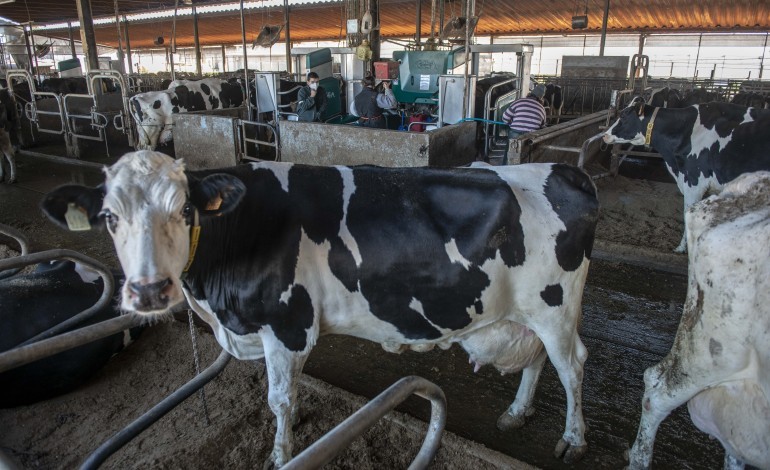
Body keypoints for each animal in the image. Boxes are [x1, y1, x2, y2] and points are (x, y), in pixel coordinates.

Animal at [43, 152, 600, 468]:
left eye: (184, 210)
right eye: (109, 216)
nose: (149, 291)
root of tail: (566, 171)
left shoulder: (287, 326)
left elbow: (279, 400)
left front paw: (280, 453)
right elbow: (287, 395)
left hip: (554, 305)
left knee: (572, 366)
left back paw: (573, 440)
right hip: (528, 315)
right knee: (537, 359)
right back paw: (517, 413)